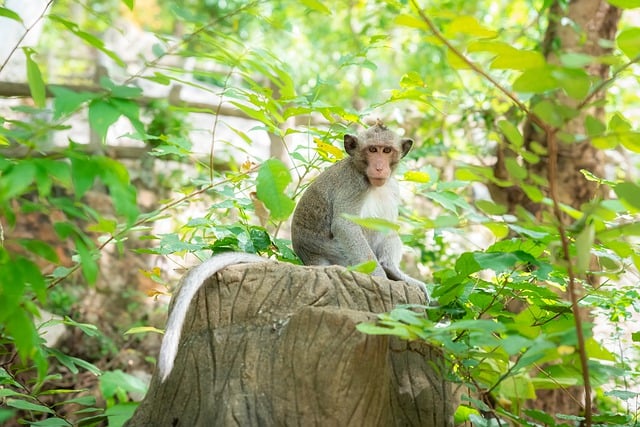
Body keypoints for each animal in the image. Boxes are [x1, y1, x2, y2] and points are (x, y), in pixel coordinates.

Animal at [291, 121, 430, 299]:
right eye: (372, 150)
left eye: (386, 150)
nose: (379, 167)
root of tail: (310, 259)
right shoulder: (353, 184)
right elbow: (345, 226)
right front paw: (381, 278)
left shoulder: (392, 186)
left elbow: (390, 226)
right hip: (338, 255)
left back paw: (390, 268)